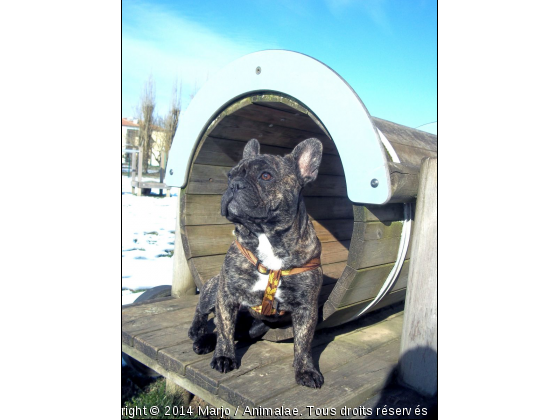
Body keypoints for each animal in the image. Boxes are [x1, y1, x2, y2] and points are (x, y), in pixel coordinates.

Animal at [188, 137, 324, 388]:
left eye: (266, 176)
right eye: (230, 175)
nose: (234, 185)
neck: (266, 235)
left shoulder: (306, 307)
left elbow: (303, 342)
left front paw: (306, 370)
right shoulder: (227, 294)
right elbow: (225, 329)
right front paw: (224, 357)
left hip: (254, 327)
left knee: (230, 330)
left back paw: (205, 341)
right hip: (213, 288)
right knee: (205, 312)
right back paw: (197, 332)